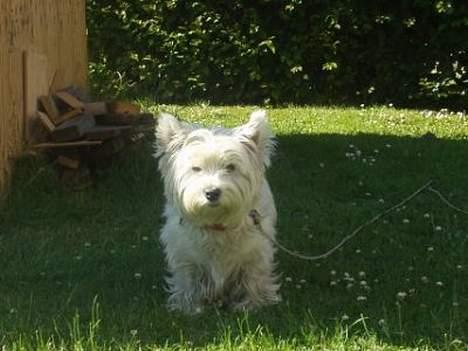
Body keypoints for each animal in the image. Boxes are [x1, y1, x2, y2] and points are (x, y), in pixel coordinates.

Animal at [154, 110, 282, 314]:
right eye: (196, 168)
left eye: (231, 167)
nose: (212, 192)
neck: (217, 222)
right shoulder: (184, 253)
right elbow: (187, 278)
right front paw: (189, 307)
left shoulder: (256, 250)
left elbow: (253, 276)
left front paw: (252, 304)